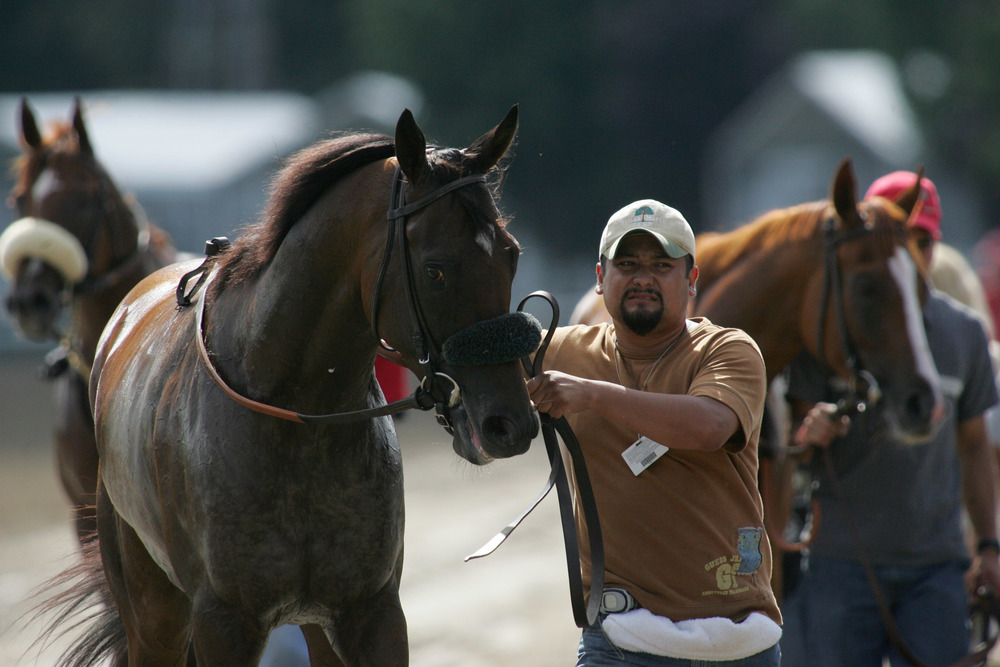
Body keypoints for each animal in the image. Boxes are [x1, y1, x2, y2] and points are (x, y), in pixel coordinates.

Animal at [52, 107, 540, 664]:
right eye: (436, 269)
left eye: (511, 254)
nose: (509, 423)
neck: (297, 416)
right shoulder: (222, 620)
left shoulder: (370, 612)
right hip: (151, 608)